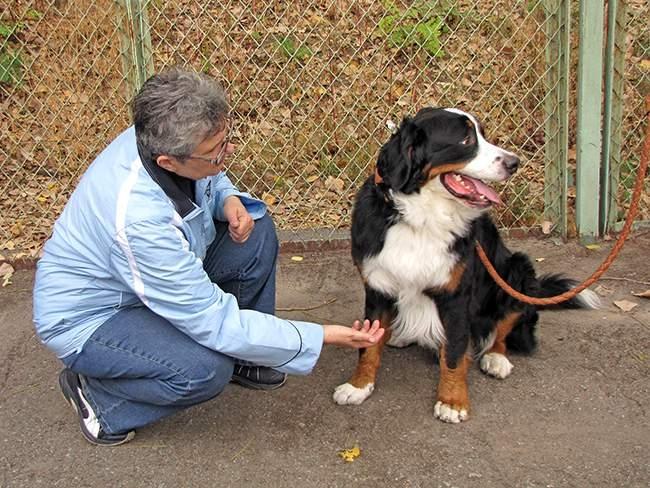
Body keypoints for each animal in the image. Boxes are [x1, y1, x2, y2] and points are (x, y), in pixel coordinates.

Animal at [333, 107, 599, 423]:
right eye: (465, 140)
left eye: (482, 134)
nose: (514, 163)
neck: (420, 220)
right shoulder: (378, 285)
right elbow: (369, 347)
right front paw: (359, 385)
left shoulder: (456, 296)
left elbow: (455, 353)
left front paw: (452, 401)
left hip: (515, 271)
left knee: (504, 329)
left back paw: (496, 359)